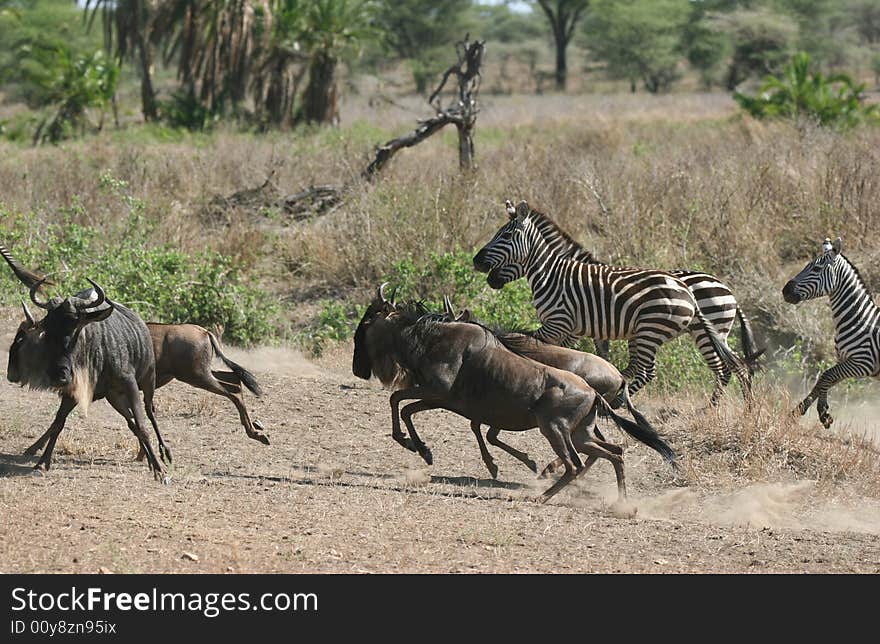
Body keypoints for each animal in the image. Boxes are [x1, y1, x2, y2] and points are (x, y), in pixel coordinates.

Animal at [780, 236, 876, 428]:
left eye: (816, 269)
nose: (785, 291)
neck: (858, 321)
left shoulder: (863, 362)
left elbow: (826, 376)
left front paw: (817, 412)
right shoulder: (845, 360)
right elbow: (823, 381)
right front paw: (806, 412)